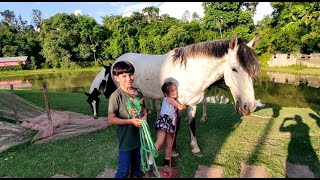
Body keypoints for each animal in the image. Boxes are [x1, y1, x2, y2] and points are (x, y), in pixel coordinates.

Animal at [104, 34, 260, 155]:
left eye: (253, 70)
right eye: (234, 69)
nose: (249, 106)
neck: (190, 72)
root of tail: (118, 59)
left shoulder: (192, 103)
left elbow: (192, 124)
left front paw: (195, 147)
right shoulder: (177, 105)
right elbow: (175, 128)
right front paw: (173, 149)